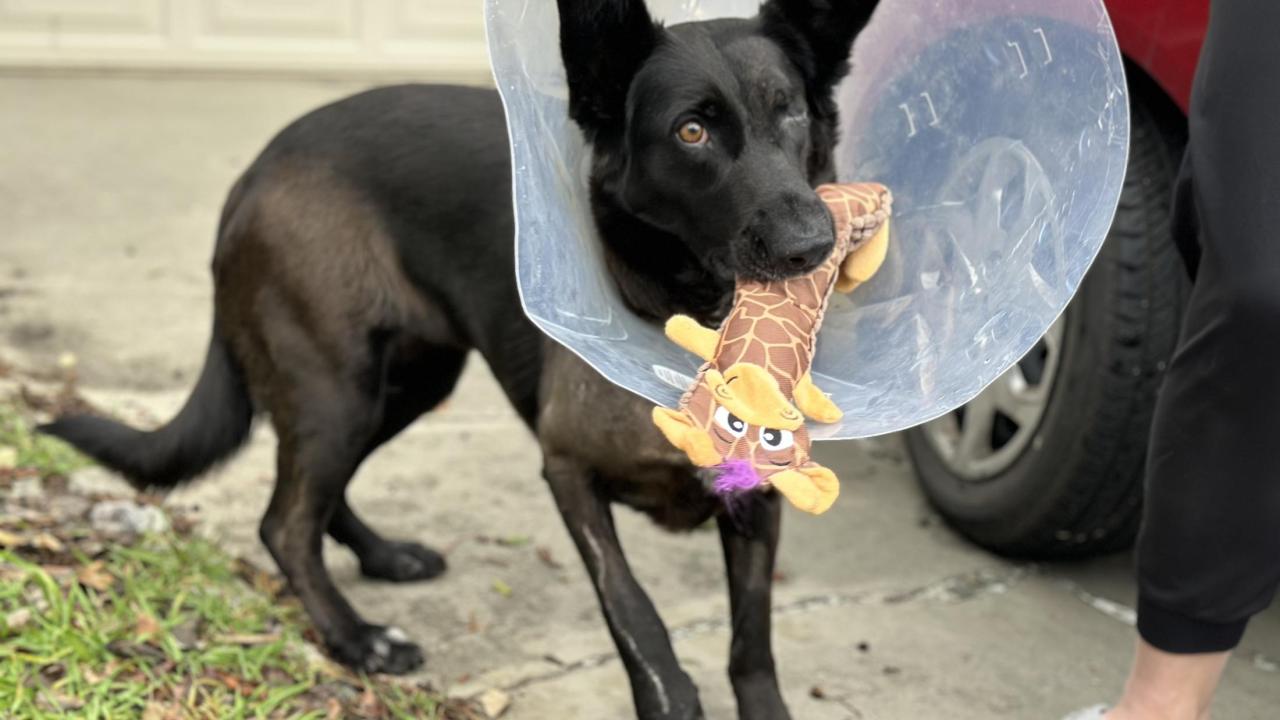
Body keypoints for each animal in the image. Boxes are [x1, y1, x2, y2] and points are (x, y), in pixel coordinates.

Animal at [42, 2, 880, 712]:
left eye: (789, 109)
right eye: (691, 133)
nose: (811, 245)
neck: (690, 316)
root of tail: (254, 171)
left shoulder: (758, 502)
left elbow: (752, 642)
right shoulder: (568, 475)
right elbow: (636, 617)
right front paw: (667, 699)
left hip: (405, 382)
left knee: (316, 493)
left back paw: (383, 557)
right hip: (336, 385)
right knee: (284, 521)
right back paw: (358, 638)